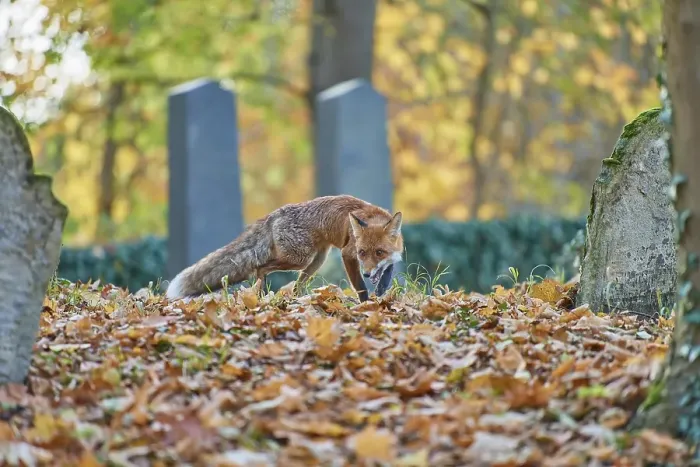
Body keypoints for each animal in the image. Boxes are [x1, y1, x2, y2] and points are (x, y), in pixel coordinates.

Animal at [165, 195, 404, 302]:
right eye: (362, 252)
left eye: (379, 252)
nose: (368, 273)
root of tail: (275, 214)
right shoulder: (348, 254)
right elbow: (360, 287)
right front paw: (366, 304)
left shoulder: (394, 256)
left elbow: (389, 269)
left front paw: (381, 288)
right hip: (300, 259)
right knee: (260, 267)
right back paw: (260, 294)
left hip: (316, 261)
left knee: (297, 285)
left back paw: (297, 300)